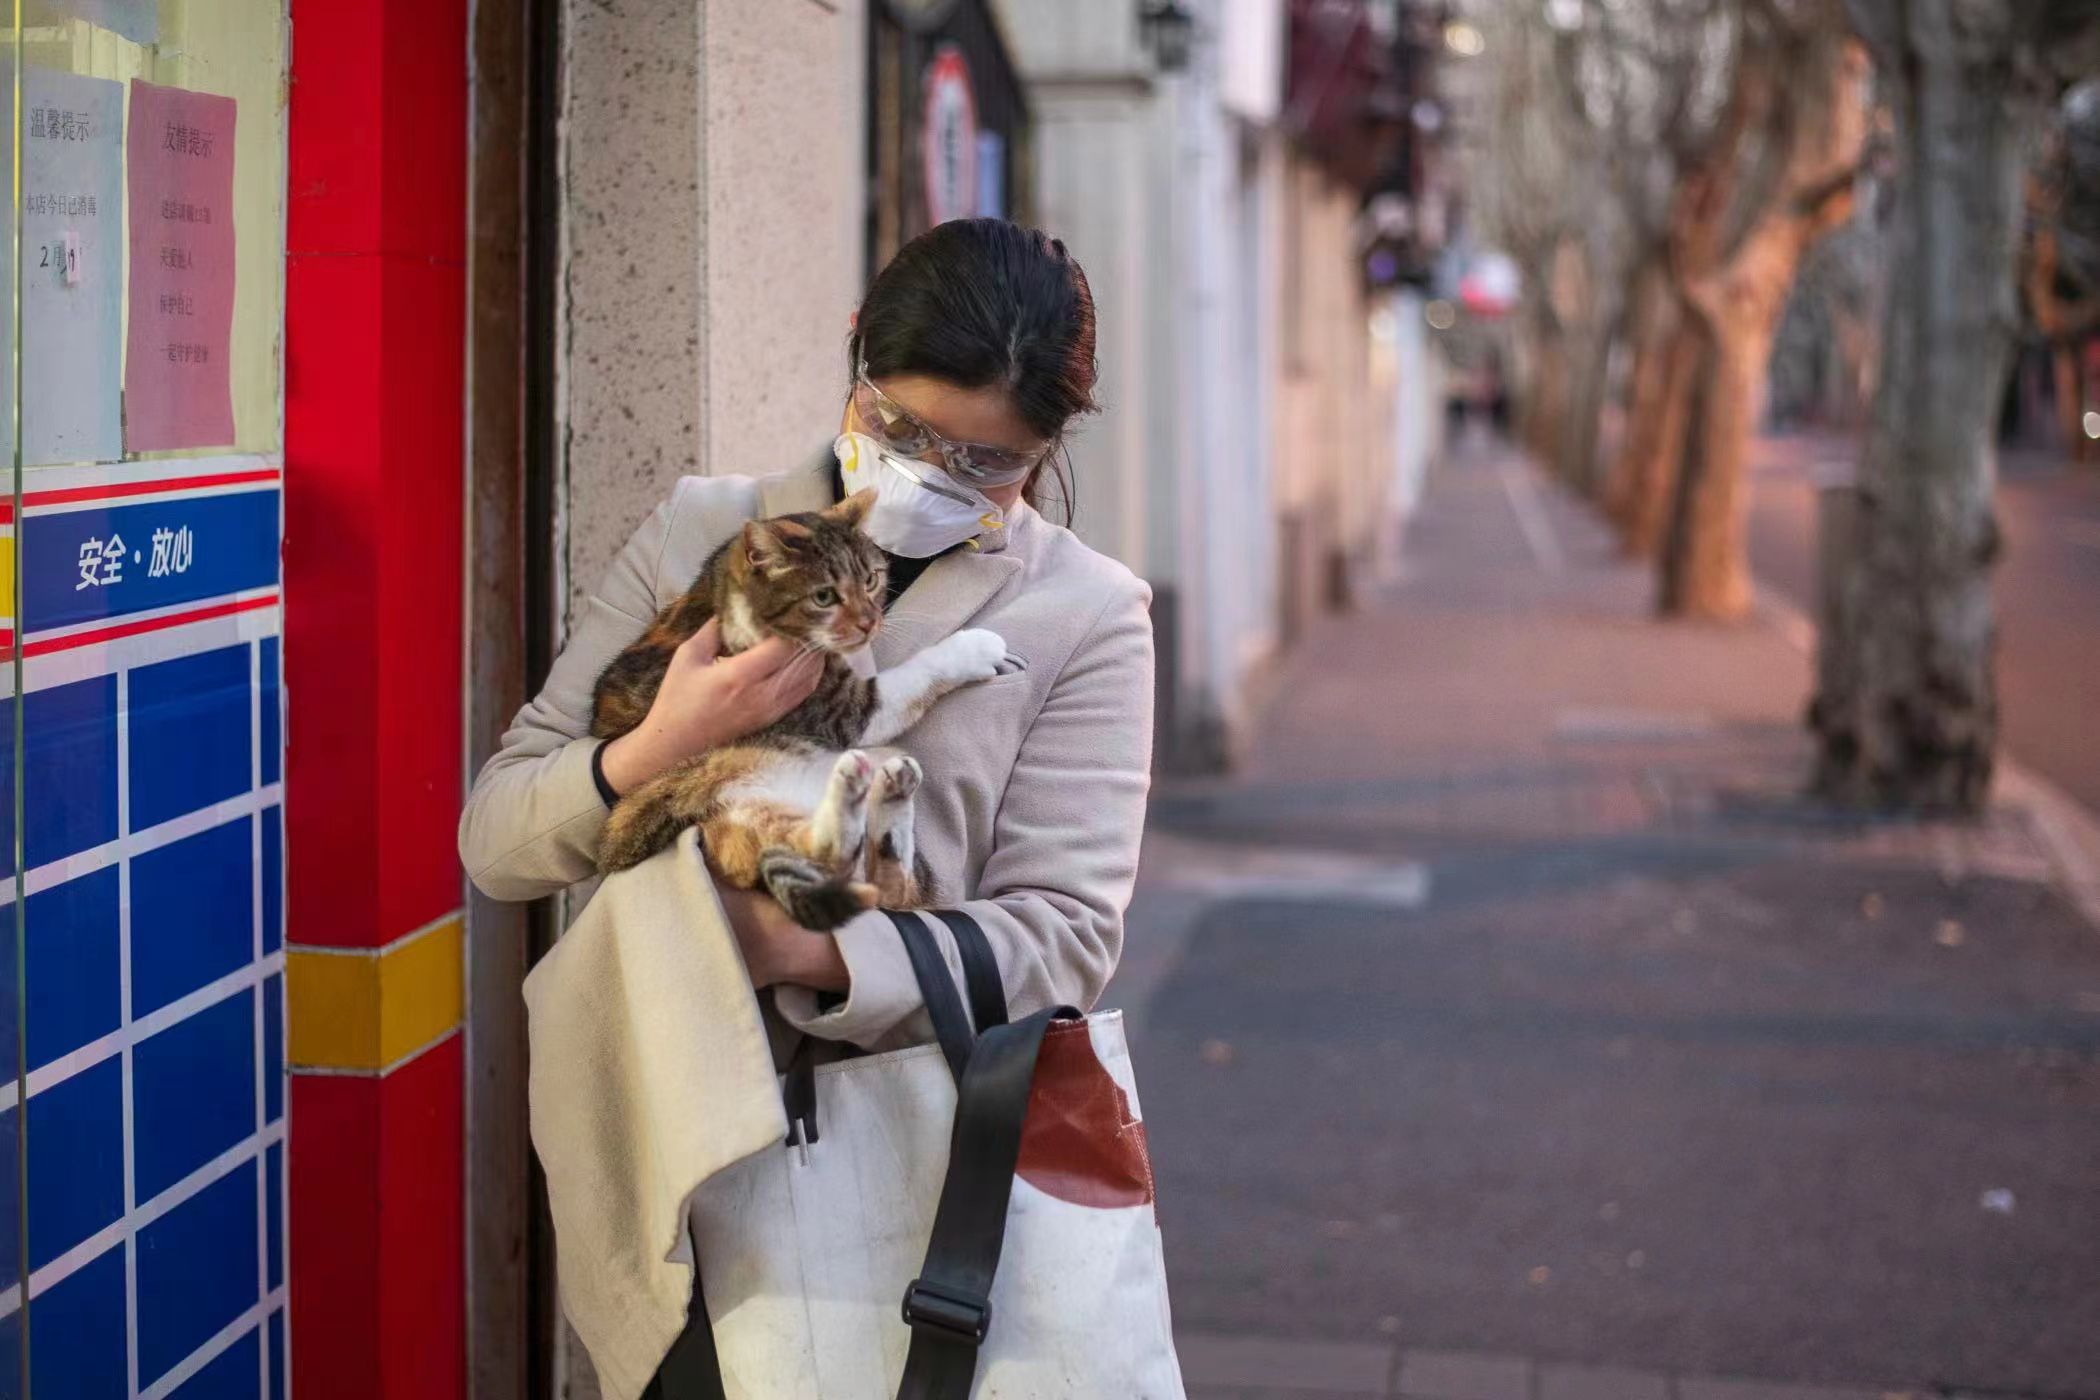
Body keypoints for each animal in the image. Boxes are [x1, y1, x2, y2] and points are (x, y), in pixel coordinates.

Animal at [592, 493, 1016, 931]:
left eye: (871, 580)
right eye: (823, 597)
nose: (870, 623)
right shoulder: (835, 708)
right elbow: (909, 679)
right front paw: (975, 648)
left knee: (887, 882)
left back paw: (890, 790)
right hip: (732, 804)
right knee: (836, 857)